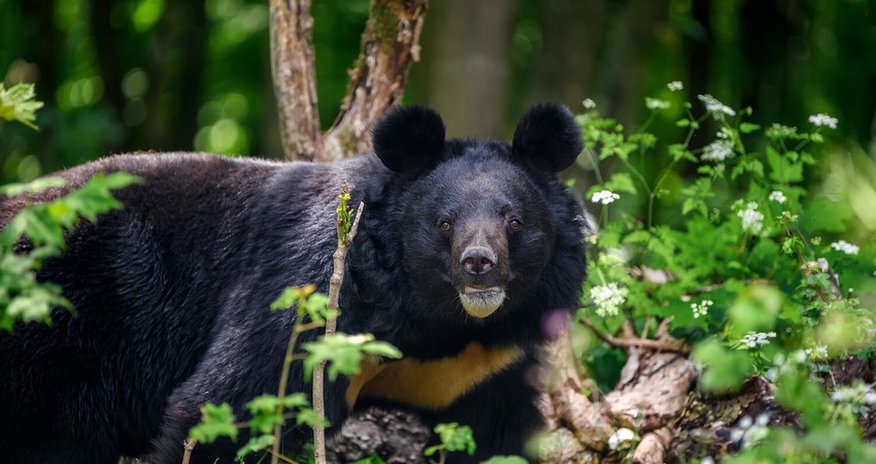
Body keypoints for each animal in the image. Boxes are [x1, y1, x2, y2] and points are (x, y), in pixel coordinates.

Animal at [0, 102, 587, 464]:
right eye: (444, 223)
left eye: (514, 221)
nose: (479, 264)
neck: (437, 321)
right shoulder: (309, 288)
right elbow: (230, 405)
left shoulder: (486, 363)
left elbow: (499, 434)